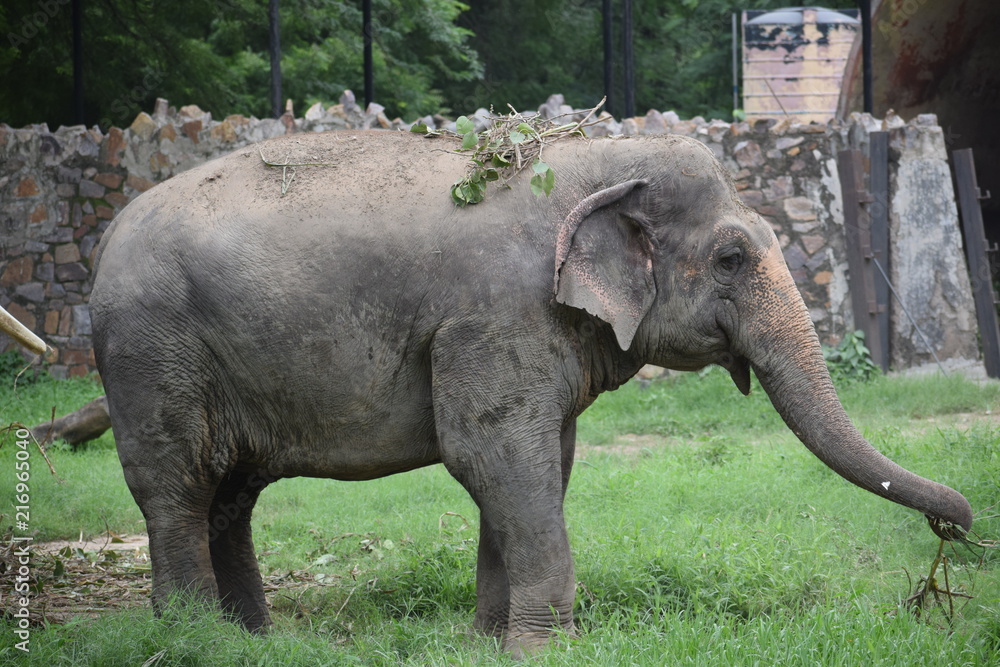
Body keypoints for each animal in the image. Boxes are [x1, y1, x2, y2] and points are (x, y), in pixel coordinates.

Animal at [87, 130, 972, 658]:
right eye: (730, 259)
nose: (957, 523)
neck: (589, 165)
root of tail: (103, 241)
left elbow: (536, 464)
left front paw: (488, 642)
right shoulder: (494, 319)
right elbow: (500, 459)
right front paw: (547, 650)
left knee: (231, 492)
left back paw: (253, 643)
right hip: (151, 352)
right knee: (178, 485)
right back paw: (196, 639)